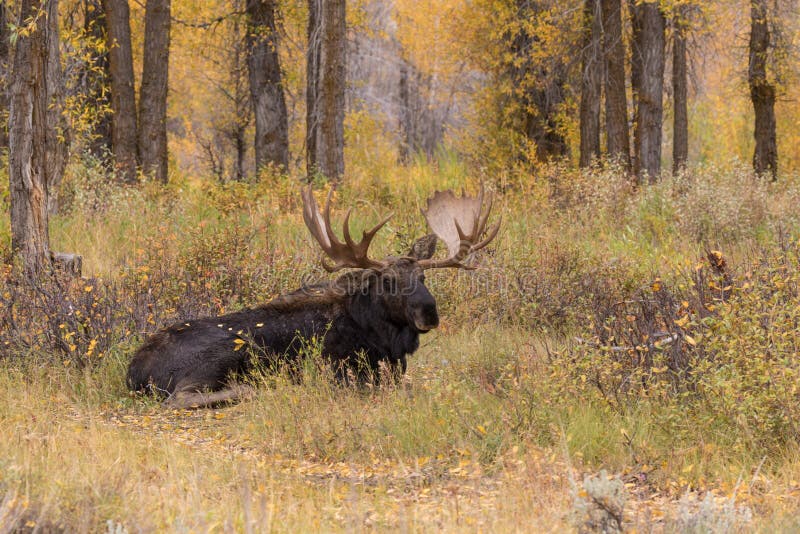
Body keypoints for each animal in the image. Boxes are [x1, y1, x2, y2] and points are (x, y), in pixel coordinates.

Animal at [125, 186, 500, 408]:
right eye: (390, 281)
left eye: (422, 277)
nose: (429, 312)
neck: (384, 338)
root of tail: (134, 372)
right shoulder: (345, 373)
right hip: (227, 352)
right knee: (181, 398)